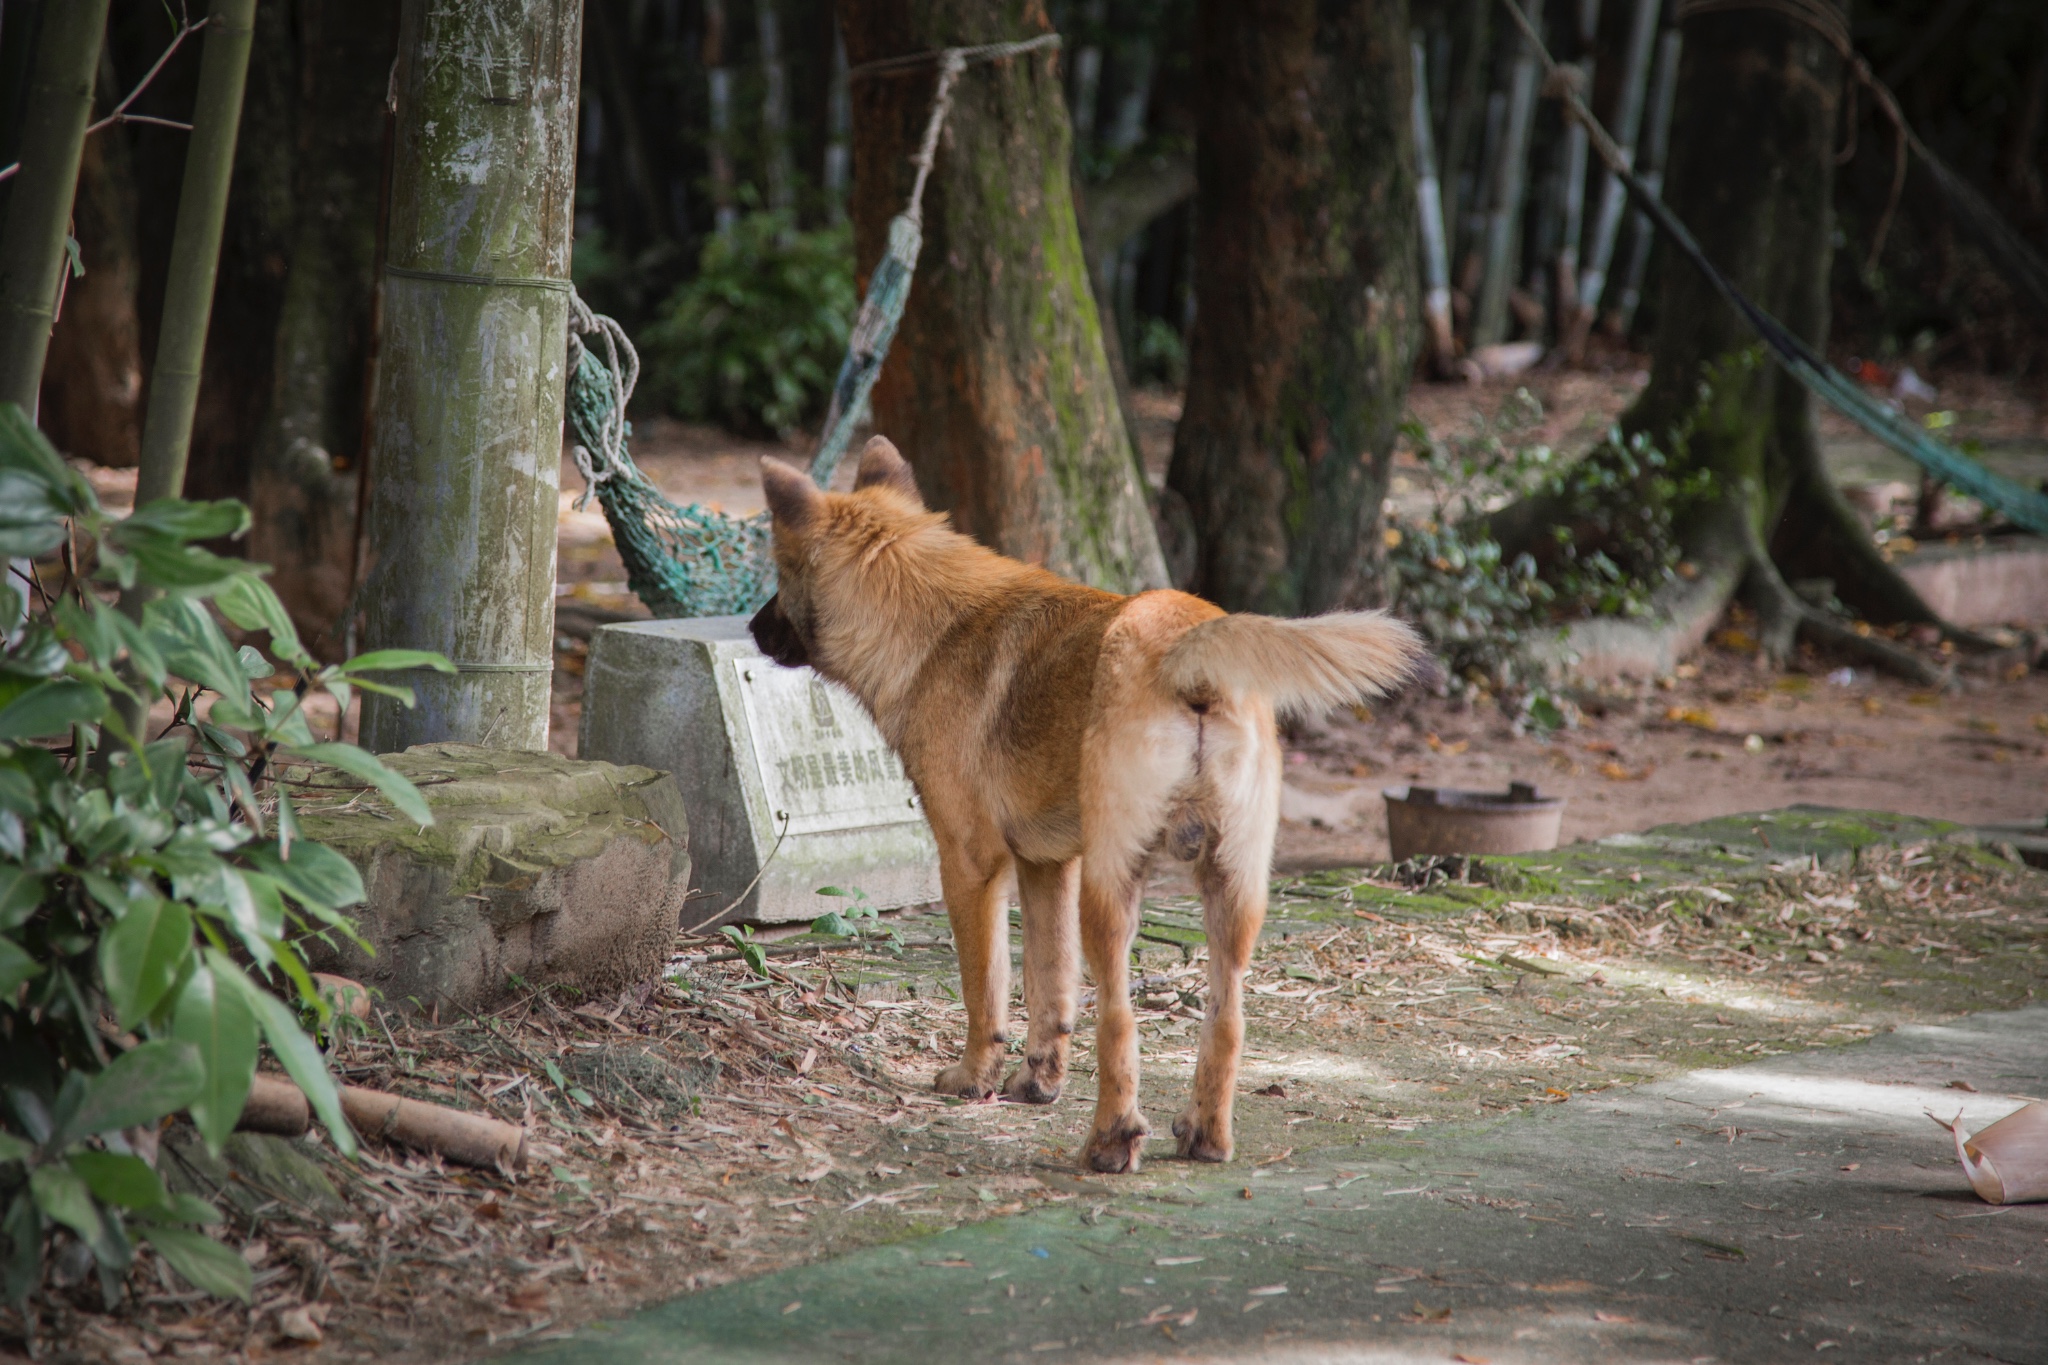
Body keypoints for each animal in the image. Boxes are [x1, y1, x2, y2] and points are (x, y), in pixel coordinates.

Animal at [753, 439, 1425, 1178]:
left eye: (777, 572)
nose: (751, 628)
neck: (935, 626)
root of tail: (1186, 645)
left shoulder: (972, 868)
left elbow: (987, 990)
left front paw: (974, 1079)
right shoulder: (1048, 868)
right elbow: (1050, 990)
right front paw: (1037, 1082)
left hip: (1110, 897)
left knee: (1119, 1020)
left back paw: (1111, 1139)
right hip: (1231, 893)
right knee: (1226, 1019)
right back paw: (1204, 1135)